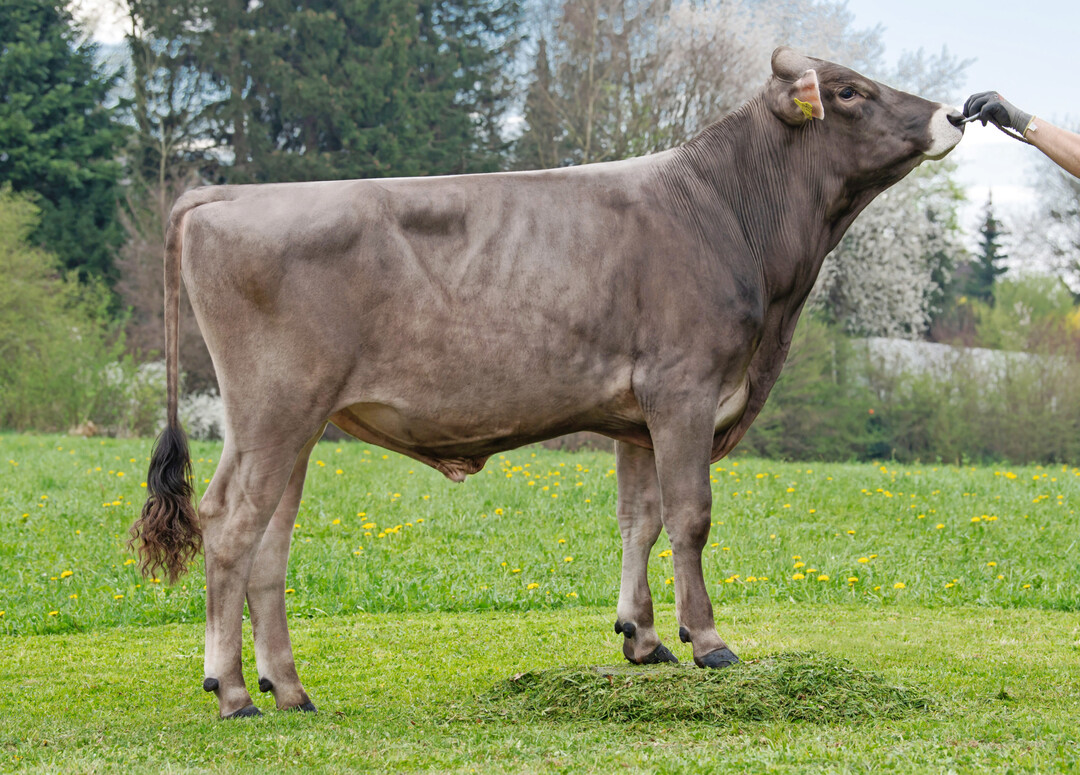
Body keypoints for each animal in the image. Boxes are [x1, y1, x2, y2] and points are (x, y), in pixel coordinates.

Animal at [131, 47, 965, 718]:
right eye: (850, 91)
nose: (955, 112)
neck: (732, 217)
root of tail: (228, 194)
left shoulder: (638, 415)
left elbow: (640, 518)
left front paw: (642, 636)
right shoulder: (685, 386)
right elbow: (690, 515)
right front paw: (708, 639)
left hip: (291, 422)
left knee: (269, 541)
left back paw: (289, 686)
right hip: (274, 408)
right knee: (231, 524)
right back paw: (234, 691)